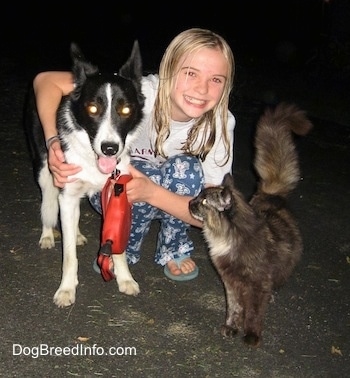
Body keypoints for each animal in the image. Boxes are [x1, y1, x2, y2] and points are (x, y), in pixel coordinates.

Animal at [25, 42, 144, 308]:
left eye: (125, 109)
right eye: (93, 108)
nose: (110, 148)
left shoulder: (118, 192)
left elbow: (118, 246)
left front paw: (125, 278)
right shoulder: (66, 190)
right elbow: (69, 255)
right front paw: (66, 289)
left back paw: (77, 233)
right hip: (44, 170)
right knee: (48, 201)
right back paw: (47, 234)